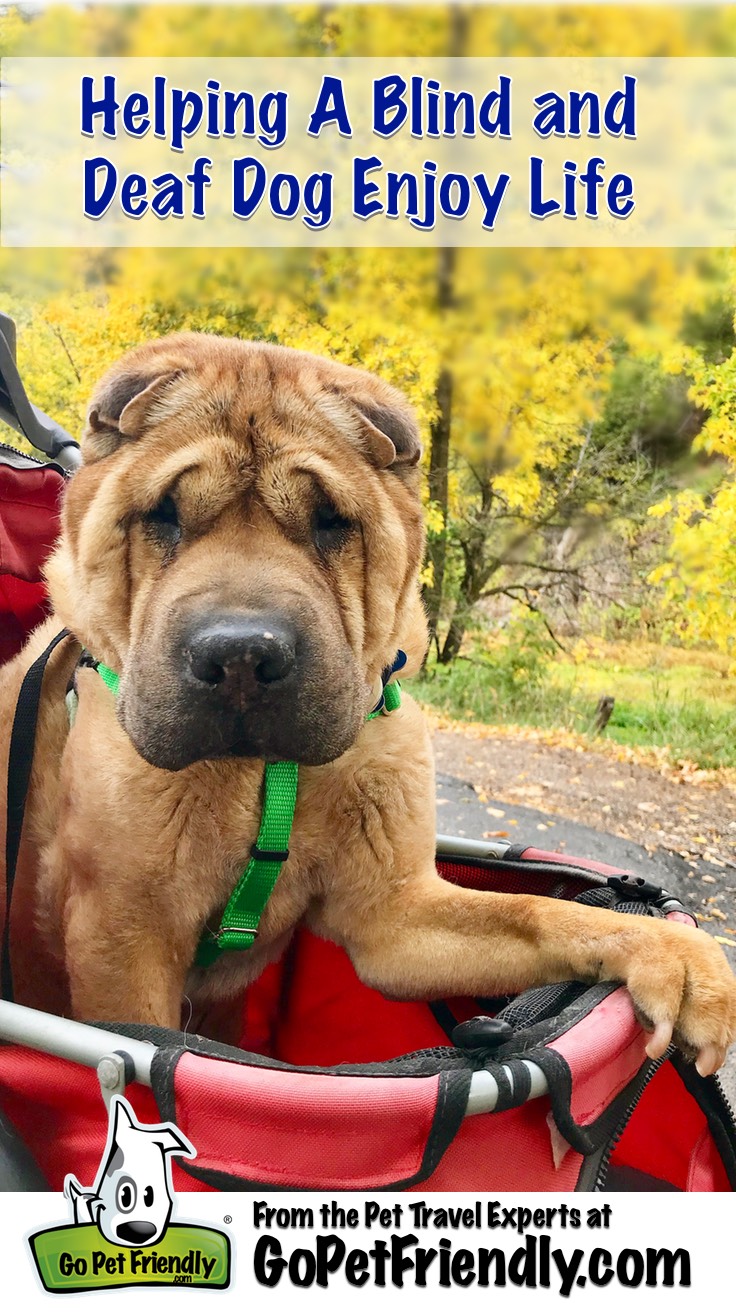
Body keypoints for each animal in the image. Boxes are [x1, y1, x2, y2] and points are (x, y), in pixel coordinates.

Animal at [1, 330, 734, 1076]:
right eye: (164, 516)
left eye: (331, 522)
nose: (241, 655)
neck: (266, 773)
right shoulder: (124, 937)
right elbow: (144, 1029)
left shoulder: (395, 913)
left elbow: (538, 914)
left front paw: (678, 957)